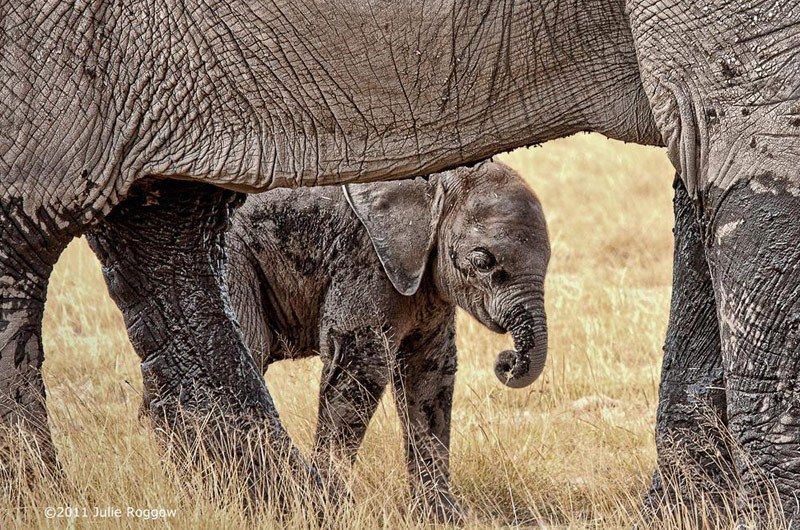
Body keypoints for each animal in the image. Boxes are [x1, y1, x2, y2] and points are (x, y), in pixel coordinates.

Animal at [225, 161, 550, 521]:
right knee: (251, 347)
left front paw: (444, 516)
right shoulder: (363, 261)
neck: (437, 183)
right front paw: (330, 510)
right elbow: (359, 368)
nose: (507, 360)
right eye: (482, 262)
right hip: (235, 261)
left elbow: (428, 376)